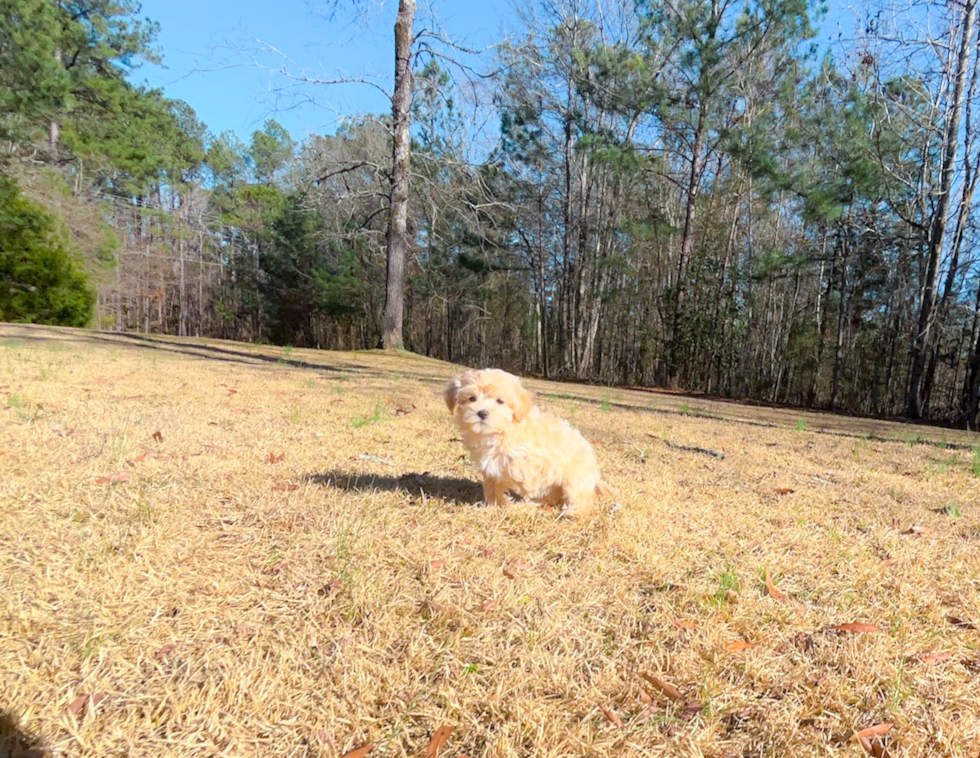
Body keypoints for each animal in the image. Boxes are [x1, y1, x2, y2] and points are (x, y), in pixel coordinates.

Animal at [448, 368, 616, 516]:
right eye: (472, 398)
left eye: (500, 401)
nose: (482, 413)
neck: (498, 432)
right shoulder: (489, 466)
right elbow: (493, 485)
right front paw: (495, 504)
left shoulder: (532, 459)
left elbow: (522, 475)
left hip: (574, 477)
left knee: (579, 498)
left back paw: (571, 511)